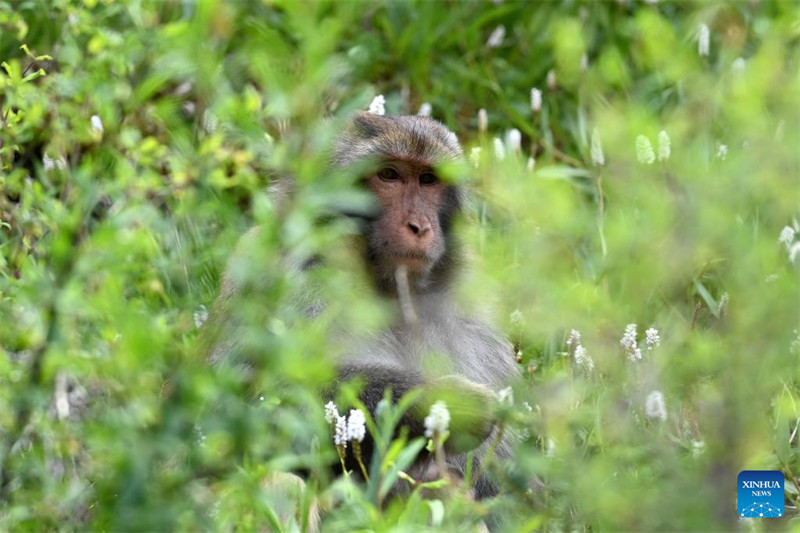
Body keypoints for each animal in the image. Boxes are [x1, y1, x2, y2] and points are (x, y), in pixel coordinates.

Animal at [203, 111, 520, 508]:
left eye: (428, 180)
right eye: (389, 175)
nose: (419, 227)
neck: (388, 288)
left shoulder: (473, 304)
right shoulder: (282, 269)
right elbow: (245, 400)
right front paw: (444, 402)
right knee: (283, 482)